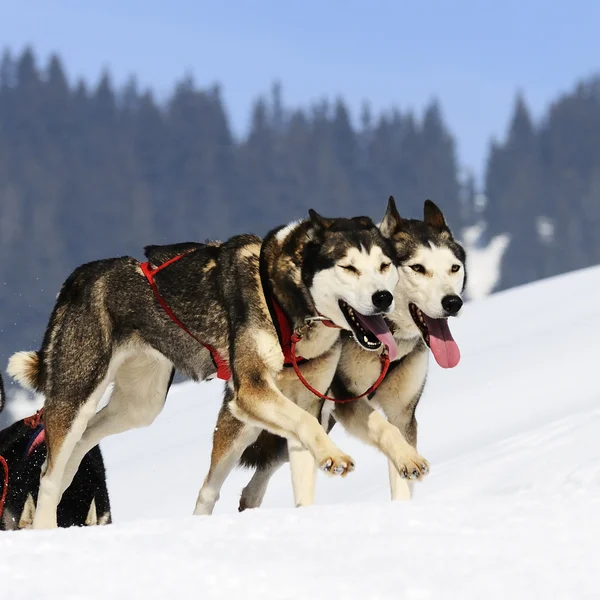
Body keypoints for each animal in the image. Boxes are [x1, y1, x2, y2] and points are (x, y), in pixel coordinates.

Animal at [8, 209, 404, 528]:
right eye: (348, 267)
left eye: (384, 266)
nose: (384, 297)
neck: (283, 297)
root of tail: (79, 277)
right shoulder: (249, 391)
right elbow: (306, 424)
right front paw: (335, 455)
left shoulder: (304, 400)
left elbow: (307, 445)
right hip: (79, 392)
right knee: (49, 473)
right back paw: (46, 528)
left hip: (140, 405)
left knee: (81, 445)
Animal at [237, 199, 466, 508]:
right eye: (417, 268)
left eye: (454, 268)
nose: (453, 302)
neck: (385, 347)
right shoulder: (348, 399)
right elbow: (384, 429)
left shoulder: (402, 413)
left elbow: (400, 459)